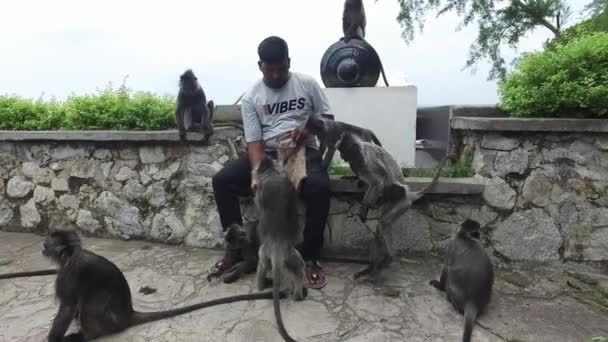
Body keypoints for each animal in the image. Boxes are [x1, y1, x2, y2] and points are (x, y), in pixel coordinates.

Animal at [42, 230, 278, 342]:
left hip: (109, 319)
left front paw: (53, 338)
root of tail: (128, 314)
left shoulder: (67, 276)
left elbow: (68, 307)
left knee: (91, 304)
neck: (70, 256)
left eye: (46, 244)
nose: (42, 247)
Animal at [253, 156, 308, 342]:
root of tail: (278, 245)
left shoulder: (260, 191)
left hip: (264, 252)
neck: (272, 174)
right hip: (291, 254)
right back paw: (298, 295)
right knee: (299, 269)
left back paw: (260, 286)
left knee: (262, 265)